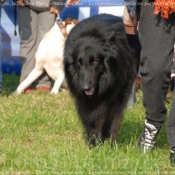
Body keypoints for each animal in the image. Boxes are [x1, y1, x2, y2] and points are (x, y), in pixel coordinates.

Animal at [63, 13, 140, 146]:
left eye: (95, 62)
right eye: (79, 63)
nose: (85, 88)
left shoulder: (115, 98)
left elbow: (109, 120)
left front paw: (106, 143)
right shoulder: (84, 100)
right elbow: (90, 120)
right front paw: (92, 143)